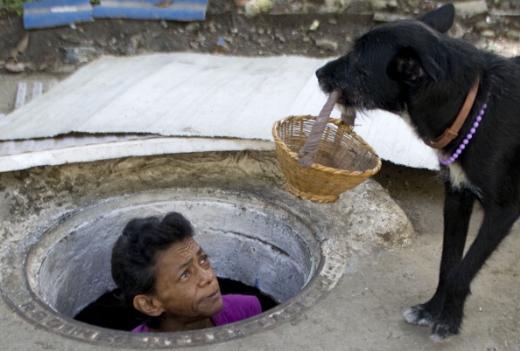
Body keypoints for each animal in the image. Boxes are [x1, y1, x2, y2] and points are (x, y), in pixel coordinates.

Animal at [314, 2, 516, 342]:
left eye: (359, 62)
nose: (318, 73)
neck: (475, 106)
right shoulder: (457, 197)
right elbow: (447, 263)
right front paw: (431, 309)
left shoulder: (503, 211)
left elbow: (462, 270)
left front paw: (448, 321)